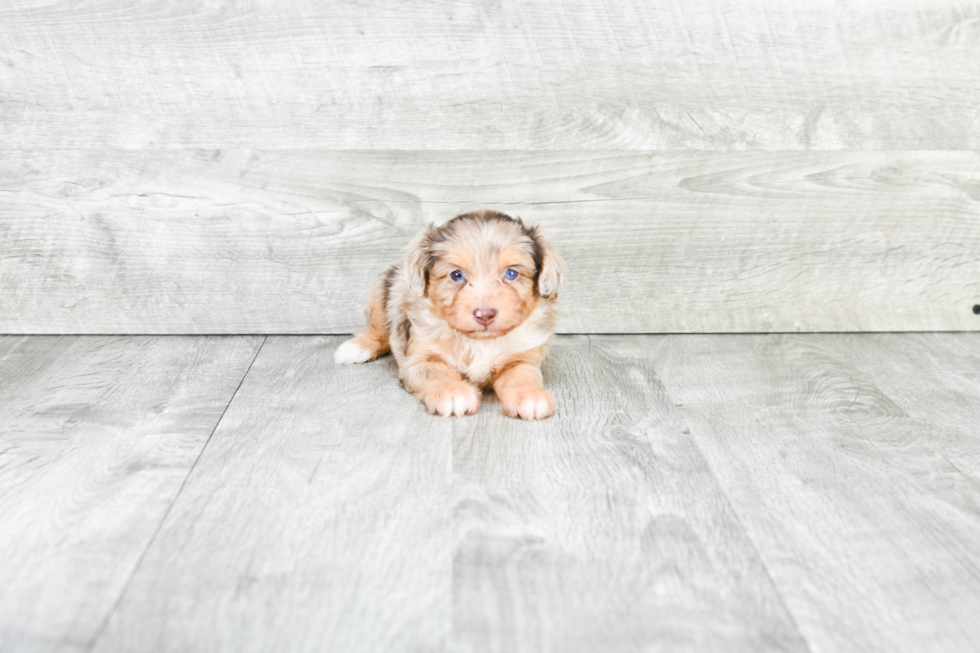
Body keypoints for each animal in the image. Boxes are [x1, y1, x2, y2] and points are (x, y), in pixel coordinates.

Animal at [336, 211, 568, 420]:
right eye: (456, 275)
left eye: (511, 273)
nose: (485, 315)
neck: (478, 342)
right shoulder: (419, 359)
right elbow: (436, 372)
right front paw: (453, 392)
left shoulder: (523, 358)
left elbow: (522, 375)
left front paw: (529, 395)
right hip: (383, 287)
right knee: (380, 330)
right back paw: (357, 347)